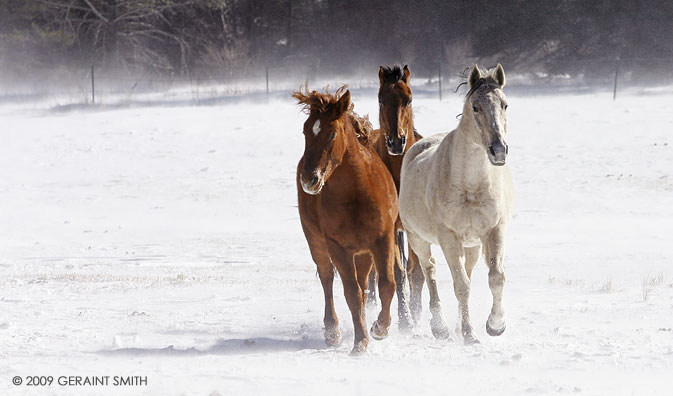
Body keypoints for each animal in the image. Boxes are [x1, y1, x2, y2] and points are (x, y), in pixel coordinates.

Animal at [294, 85, 400, 354]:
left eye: (332, 134)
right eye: (305, 131)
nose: (309, 179)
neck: (356, 193)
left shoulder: (382, 240)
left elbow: (386, 285)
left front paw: (379, 328)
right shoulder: (338, 247)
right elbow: (350, 292)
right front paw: (360, 341)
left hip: (363, 254)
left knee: (364, 287)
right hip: (317, 242)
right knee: (327, 278)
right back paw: (332, 331)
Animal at [400, 65, 510, 344]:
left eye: (504, 105)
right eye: (475, 107)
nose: (498, 150)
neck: (471, 185)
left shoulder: (495, 230)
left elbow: (496, 278)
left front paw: (495, 325)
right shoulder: (449, 237)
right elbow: (461, 286)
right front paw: (470, 334)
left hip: (471, 245)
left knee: (467, 271)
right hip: (418, 239)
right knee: (429, 271)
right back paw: (439, 327)